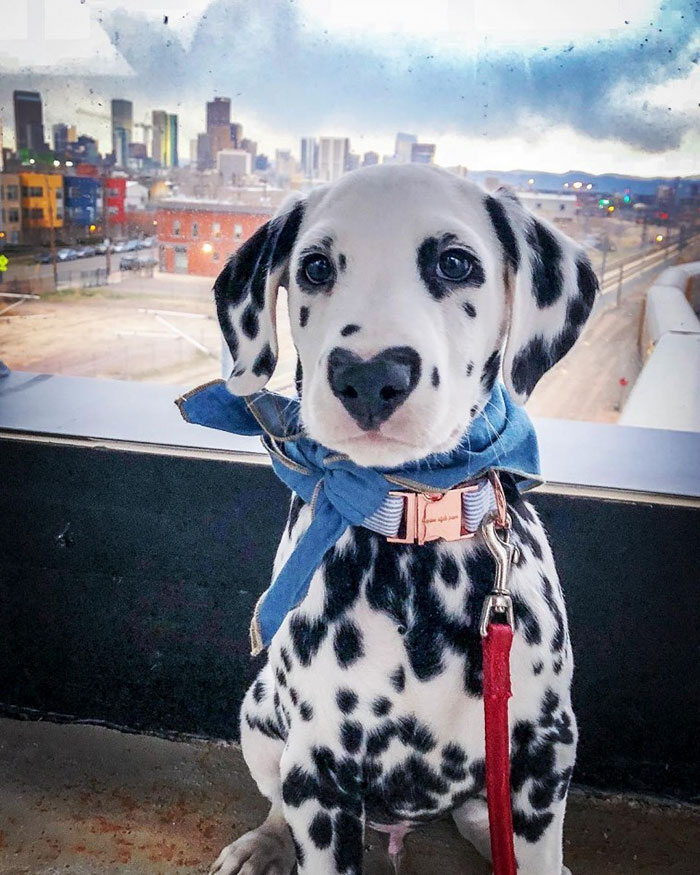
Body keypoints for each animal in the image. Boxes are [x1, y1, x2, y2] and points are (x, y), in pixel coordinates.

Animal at [208, 166, 596, 875]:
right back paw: (265, 844)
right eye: (314, 267)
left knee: (481, 819)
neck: (411, 532)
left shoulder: (543, 753)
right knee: (277, 801)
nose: (368, 376)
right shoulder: (320, 774)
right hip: (260, 718)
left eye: (455, 262)